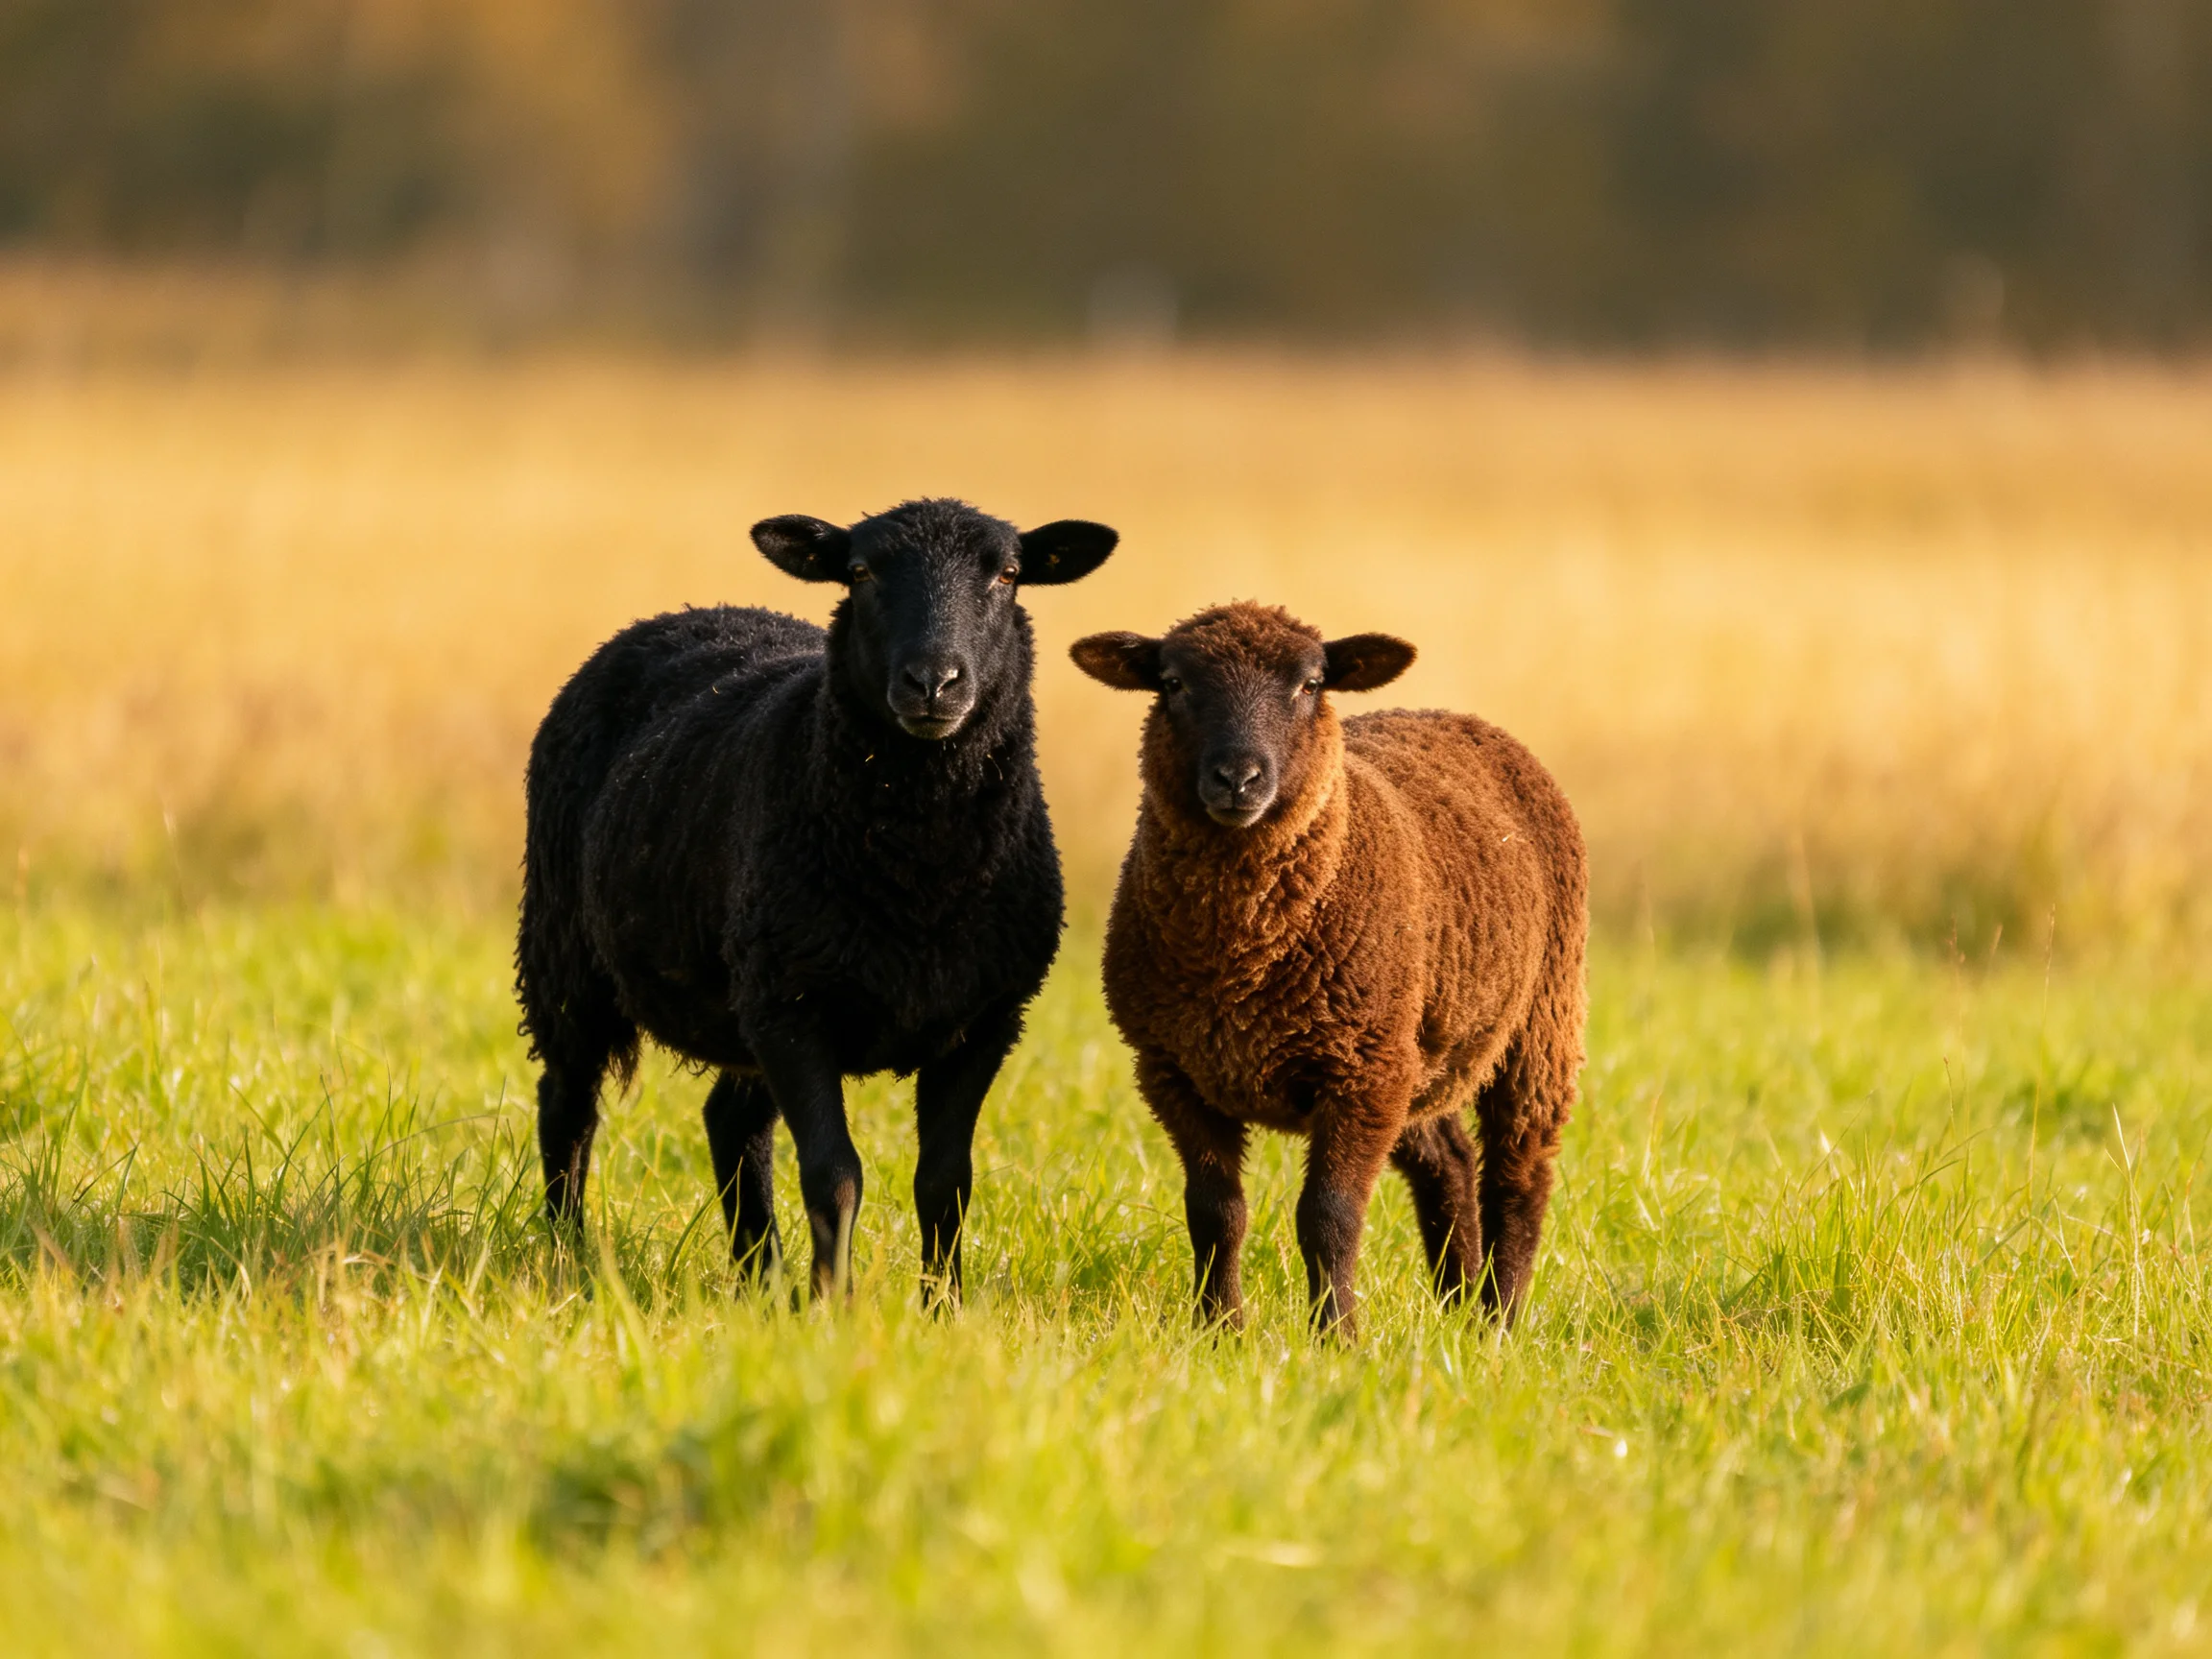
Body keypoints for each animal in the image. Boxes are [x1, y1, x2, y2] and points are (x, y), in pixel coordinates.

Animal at [517, 498, 1118, 1302]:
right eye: (859, 572)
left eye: (1009, 574)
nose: (934, 682)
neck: (921, 876)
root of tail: (688, 613)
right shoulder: (794, 1009)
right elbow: (835, 1174)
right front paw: (835, 1306)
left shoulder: (985, 1019)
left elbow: (945, 1181)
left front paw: (944, 1308)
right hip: (568, 955)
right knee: (567, 1107)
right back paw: (567, 1256)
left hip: (744, 994)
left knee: (730, 1123)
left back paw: (759, 1281)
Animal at [1071, 602, 1586, 1337]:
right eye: (1172, 683)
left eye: (1310, 684)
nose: (1238, 778)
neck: (1240, 960)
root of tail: (1457, 715)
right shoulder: (1175, 1071)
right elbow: (1215, 1213)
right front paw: (1219, 1329)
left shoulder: (1358, 1076)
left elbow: (1329, 1217)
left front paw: (1335, 1336)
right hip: (1408, 1045)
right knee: (1450, 1161)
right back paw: (1456, 1306)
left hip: (1537, 1020)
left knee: (1520, 1174)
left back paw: (1499, 1321)